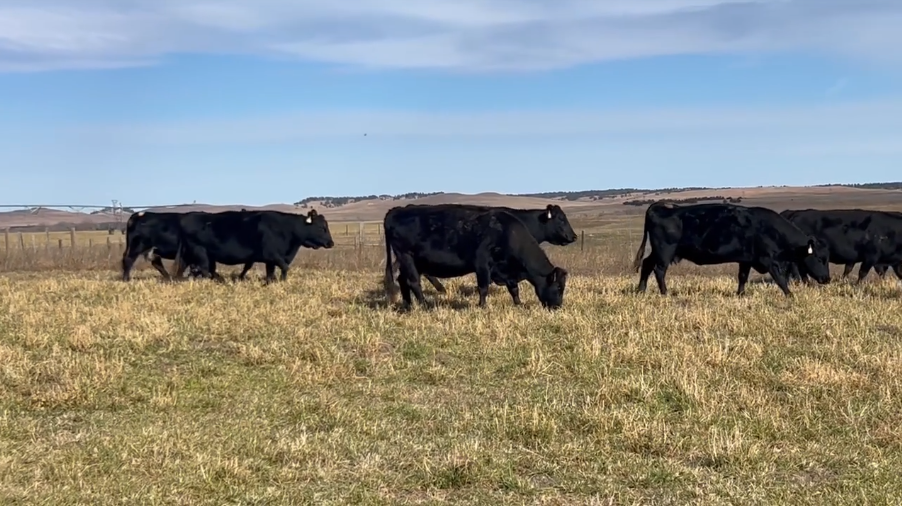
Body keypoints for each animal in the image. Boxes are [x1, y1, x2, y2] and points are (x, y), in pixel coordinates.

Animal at [121, 210, 254, 282]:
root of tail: (139, 214)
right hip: (136, 246)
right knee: (128, 260)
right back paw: (126, 279)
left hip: (152, 250)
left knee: (157, 263)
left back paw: (169, 278)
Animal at [169, 208, 334, 283]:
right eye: (322, 228)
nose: (331, 243)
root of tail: (186, 217)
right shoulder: (272, 255)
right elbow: (284, 267)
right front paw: (282, 281)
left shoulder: (269, 260)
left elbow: (269, 272)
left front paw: (270, 283)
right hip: (200, 252)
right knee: (204, 270)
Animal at [383, 205, 570, 309]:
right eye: (559, 287)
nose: (558, 306)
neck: (507, 231)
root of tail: (396, 211)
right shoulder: (482, 264)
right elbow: (483, 287)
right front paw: (482, 306)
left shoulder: (506, 270)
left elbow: (514, 289)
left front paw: (519, 304)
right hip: (406, 256)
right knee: (414, 282)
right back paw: (425, 305)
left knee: (403, 280)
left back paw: (407, 305)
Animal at [632, 202, 831, 296]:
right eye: (820, 258)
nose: (827, 279)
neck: (770, 229)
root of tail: (661, 206)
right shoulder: (768, 260)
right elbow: (780, 279)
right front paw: (790, 295)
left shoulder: (746, 260)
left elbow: (742, 277)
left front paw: (740, 294)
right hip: (664, 252)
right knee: (659, 270)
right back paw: (665, 293)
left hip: (658, 252)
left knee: (647, 264)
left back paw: (641, 290)